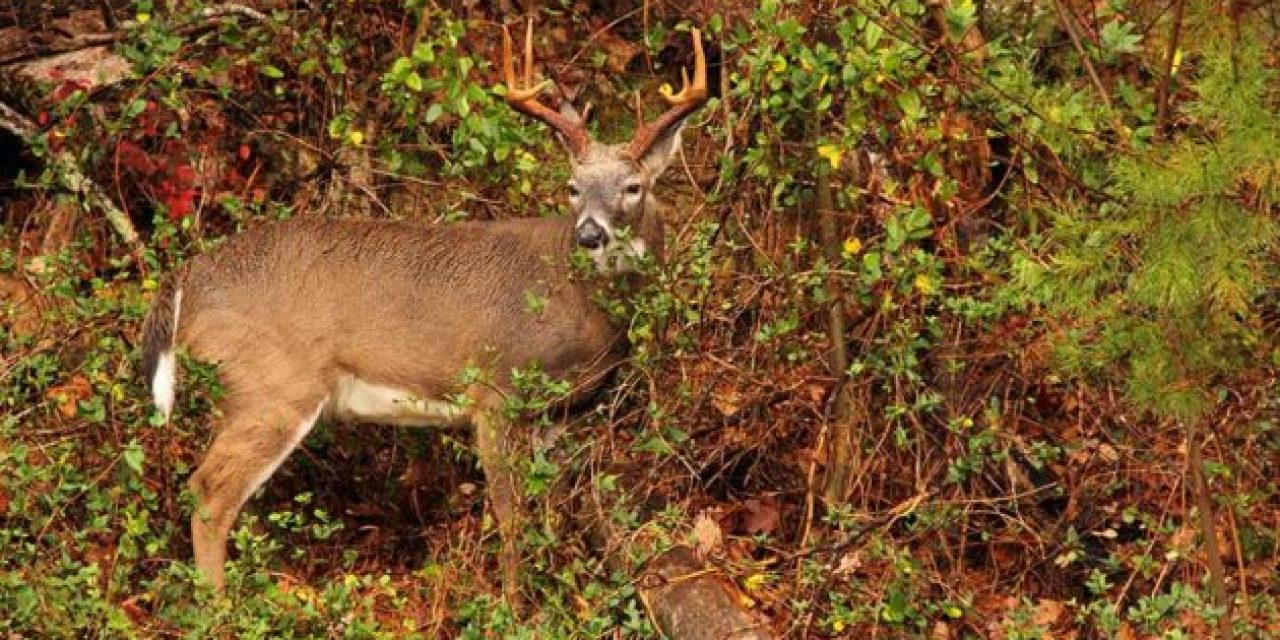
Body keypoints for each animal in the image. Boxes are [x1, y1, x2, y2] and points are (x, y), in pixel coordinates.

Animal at [140, 18, 711, 599]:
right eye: (572, 188)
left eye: (633, 187)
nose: (590, 234)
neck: (578, 305)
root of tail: (190, 276)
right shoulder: (495, 389)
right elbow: (511, 513)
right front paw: (515, 604)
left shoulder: (560, 411)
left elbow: (549, 505)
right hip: (271, 384)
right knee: (209, 491)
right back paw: (219, 605)